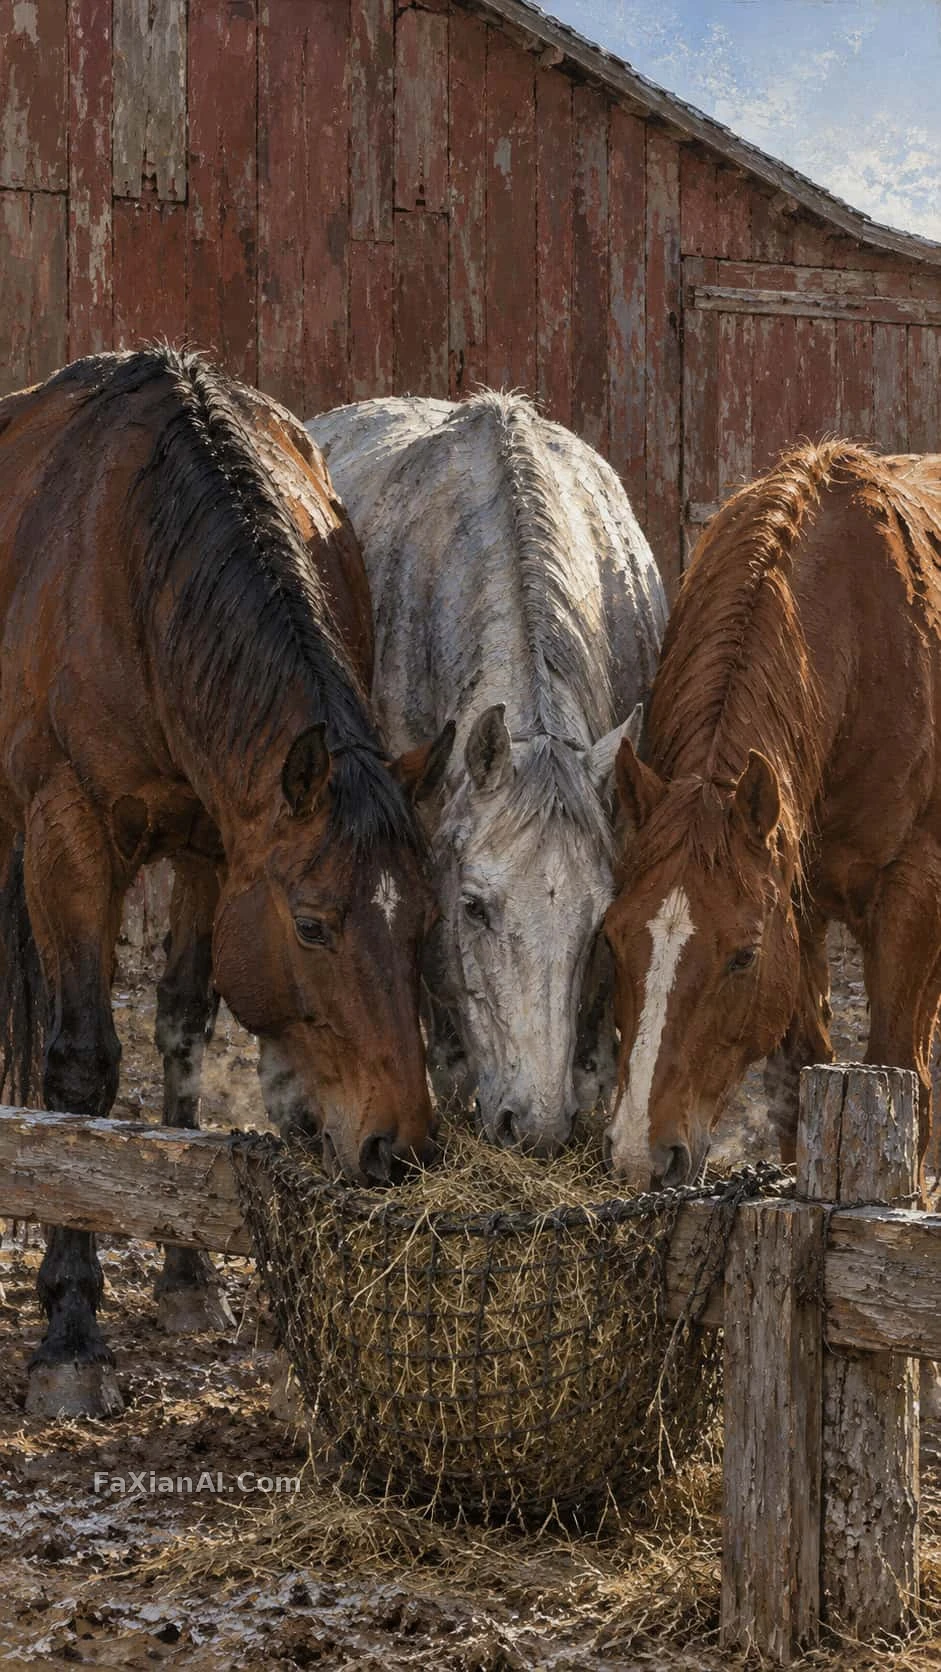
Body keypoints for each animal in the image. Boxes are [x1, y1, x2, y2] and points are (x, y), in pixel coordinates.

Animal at [0, 347, 452, 1417]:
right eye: (314, 926)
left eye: (425, 923)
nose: (401, 1148)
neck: (136, 565)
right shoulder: (68, 836)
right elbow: (80, 1063)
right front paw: (71, 1330)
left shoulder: (220, 849)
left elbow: (183, 1030)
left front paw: (188, 1276)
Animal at [603, 440, 941, 1190]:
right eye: (611, 939)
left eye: (743, 956)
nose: (642, 1159)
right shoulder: (797, 900)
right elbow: (797, 1084)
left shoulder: (912, 898)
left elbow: (900, 1074)